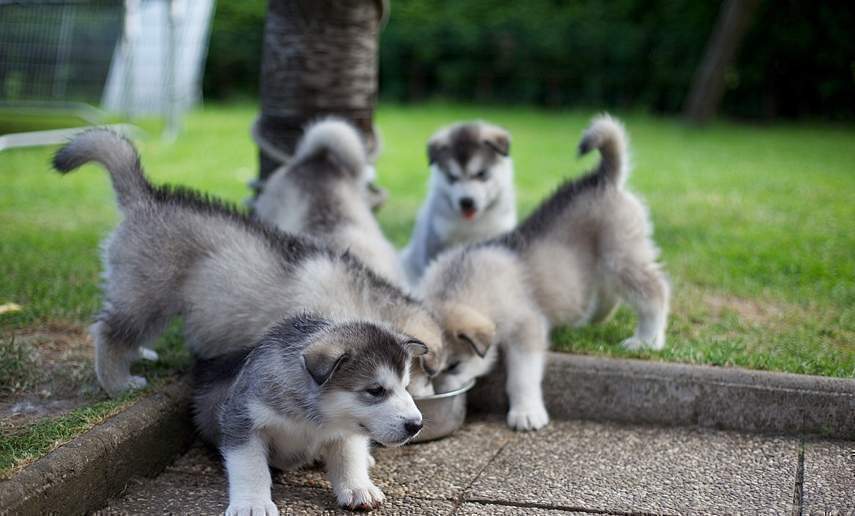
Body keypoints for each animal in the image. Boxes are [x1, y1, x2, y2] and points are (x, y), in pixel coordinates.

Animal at [191, 314, 424, 512]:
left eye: (405, 386)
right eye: (376, 390)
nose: (417, 425)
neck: (312, 418)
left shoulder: (347, 430)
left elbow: (348, 457)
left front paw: (357, 487)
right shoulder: (242, 419)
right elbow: (251, 466)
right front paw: (252, 504)